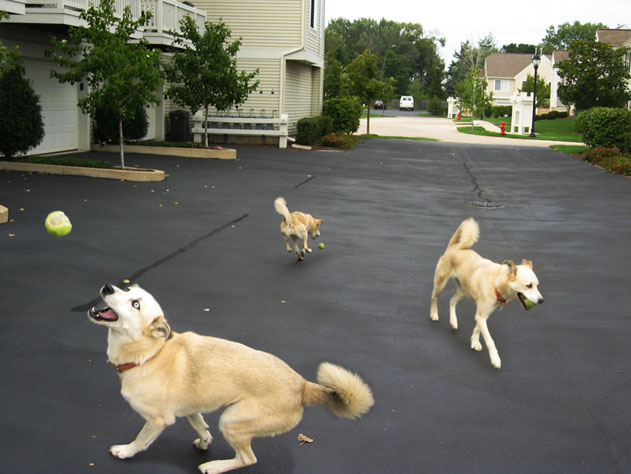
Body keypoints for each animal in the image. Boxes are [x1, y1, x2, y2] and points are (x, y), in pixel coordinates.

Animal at [89, 284, 376, 472]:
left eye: (135, 304)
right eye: (126, 288)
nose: (108, 287)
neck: (150, 354)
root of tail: (302, 387)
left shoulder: (158, 420)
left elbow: (141, 440)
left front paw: (125, 451)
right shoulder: (189, 407)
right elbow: (199, 423)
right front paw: (204, 440)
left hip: (231, 421)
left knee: (248, 459)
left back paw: (214, 466)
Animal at [430, 218, 544, 370]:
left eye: (537, 285)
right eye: (529, 286)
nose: (542, 300)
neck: (496, 282)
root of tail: (454, 247)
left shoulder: (484, 314)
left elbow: (477, 329)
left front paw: (474, 342)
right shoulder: (481, 315)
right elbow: (490, 340)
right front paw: (495, 359)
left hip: (464, 291)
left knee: (452, 301)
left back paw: (453, 321)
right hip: (441, 284)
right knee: (434, 297)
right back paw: (434, 314)